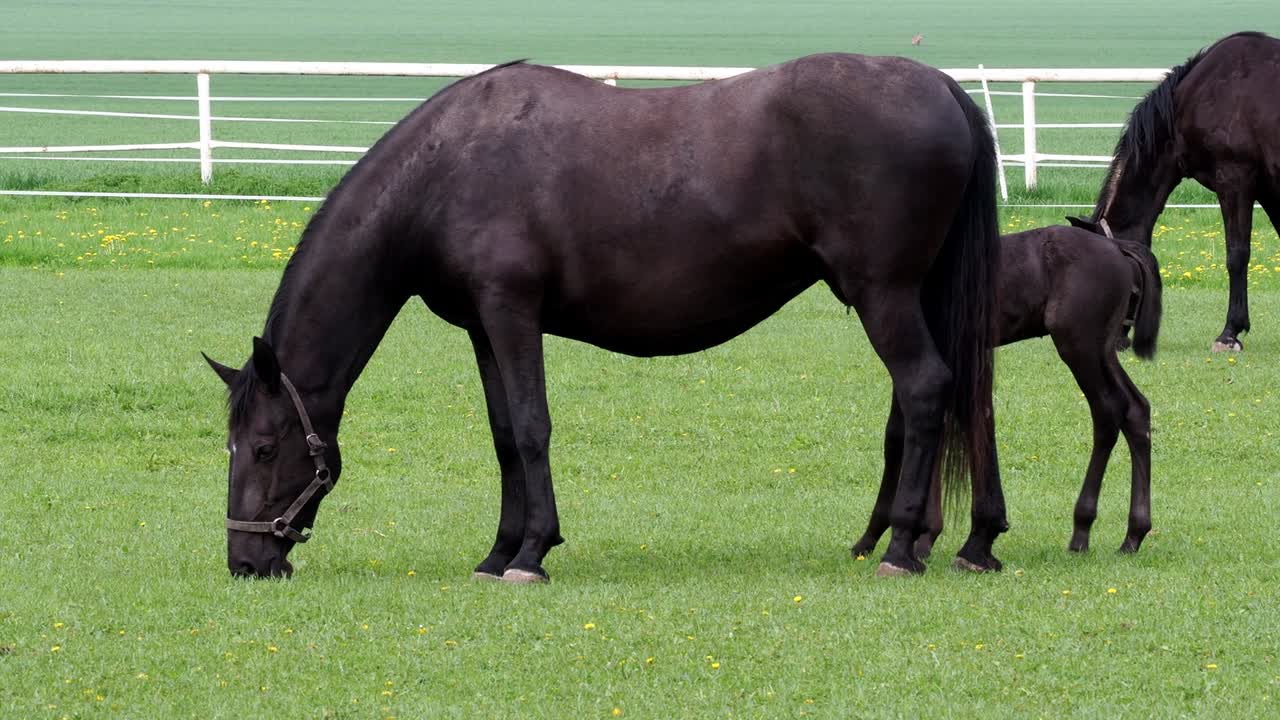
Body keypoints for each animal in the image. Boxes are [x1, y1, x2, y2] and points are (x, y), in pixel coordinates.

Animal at [202, 54, 1005, 582]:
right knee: (961, 398)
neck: (446, 169)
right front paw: (499, 552)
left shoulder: (512, 313)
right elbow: (503, 436)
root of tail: (943, 88)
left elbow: (532, 428)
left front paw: (532, 554)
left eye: (266, 448)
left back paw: (902, 548)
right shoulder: (483, 327)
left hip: (883, 293)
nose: (247, 561)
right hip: (920, 296)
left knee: (926, 389)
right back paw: (965, 540)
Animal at [851, 224, 1163, 563]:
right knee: (1136, 409)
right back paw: (1134, 534)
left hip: (1080, 347)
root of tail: (1117, 247)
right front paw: (925, 535)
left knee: (1108, 411)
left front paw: (891, 536)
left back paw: (1082, 530)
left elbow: (906, 433)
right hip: (1103, 351)